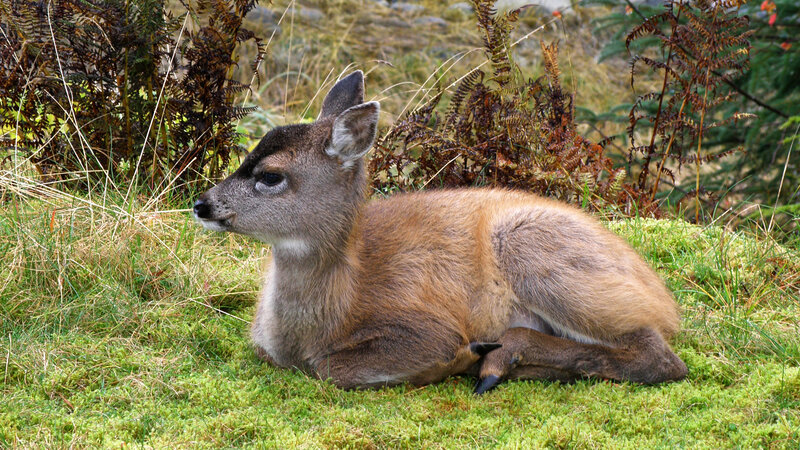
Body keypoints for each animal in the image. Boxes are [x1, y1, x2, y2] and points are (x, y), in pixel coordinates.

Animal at [193, 71, 688, 394]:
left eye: (271, 176)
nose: (202, 203)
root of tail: (664, 299)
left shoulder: (423, 323)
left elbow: (334, 369)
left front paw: (458, 358)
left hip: (537, 252)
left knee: (661, 357)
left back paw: (495, 361)